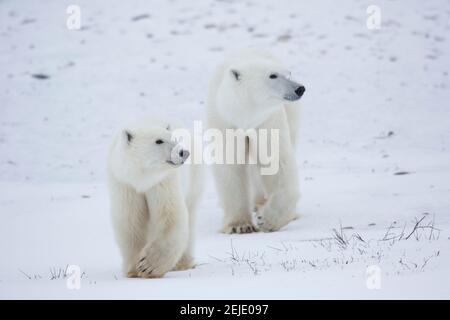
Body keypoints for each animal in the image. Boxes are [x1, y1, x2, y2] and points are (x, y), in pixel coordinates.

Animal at [107, 115, 202, 278]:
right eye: (159, 141)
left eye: (174, 138)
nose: (183, 152)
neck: (142, 178)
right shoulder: (125, 184)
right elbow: (130, 221)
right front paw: (134, 269)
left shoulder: (162, 181)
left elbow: (171, 215)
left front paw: (148, 266)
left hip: (194, 179)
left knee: (190, 213)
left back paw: (183, 263)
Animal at [207, 50, 306, 235]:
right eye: (272, 75)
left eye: (288, 73)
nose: (300, 88)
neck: (245, 115)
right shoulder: (225, 122)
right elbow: (231, 166)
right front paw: (239, 226)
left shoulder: (267, 121)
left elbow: (276, 161)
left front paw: (266, 220)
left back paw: (262, 204)